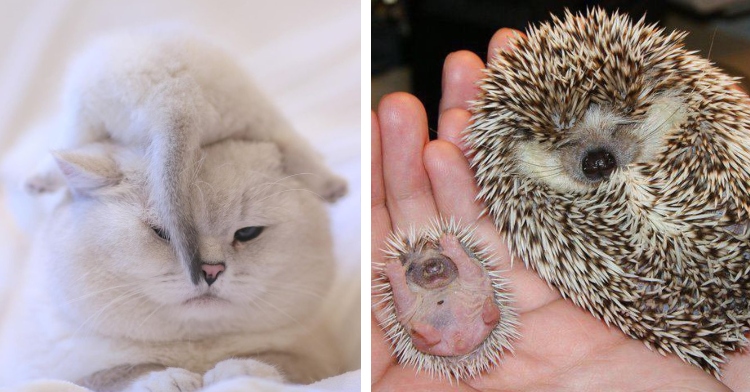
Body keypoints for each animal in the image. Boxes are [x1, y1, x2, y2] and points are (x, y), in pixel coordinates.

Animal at [0, 140, 340, 388]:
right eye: (166, 233)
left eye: (248, 233)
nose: (210, 271)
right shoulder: (43, 374)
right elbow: (120, 373)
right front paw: (169, 378)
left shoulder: (320, 360)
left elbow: (280, 362)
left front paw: (237, 371)